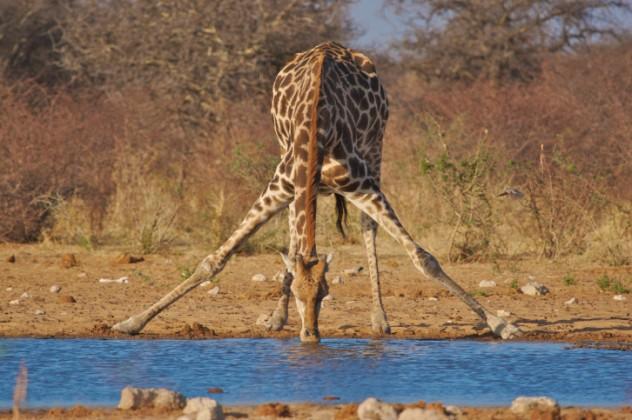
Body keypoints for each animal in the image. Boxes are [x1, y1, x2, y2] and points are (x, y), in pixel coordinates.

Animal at [112, 42, 520, 342]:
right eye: (299, 293)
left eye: (325, 293)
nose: (311, 336)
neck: (317, 128)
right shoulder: (282, 185)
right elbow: (215, 260)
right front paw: (131, 321)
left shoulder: (361, 184)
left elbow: (423, 257)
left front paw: (502, 324)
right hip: (294, 183)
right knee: (295, 238)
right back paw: (276, 319)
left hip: (376, 151)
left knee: (367, 227)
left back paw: (379, 318)